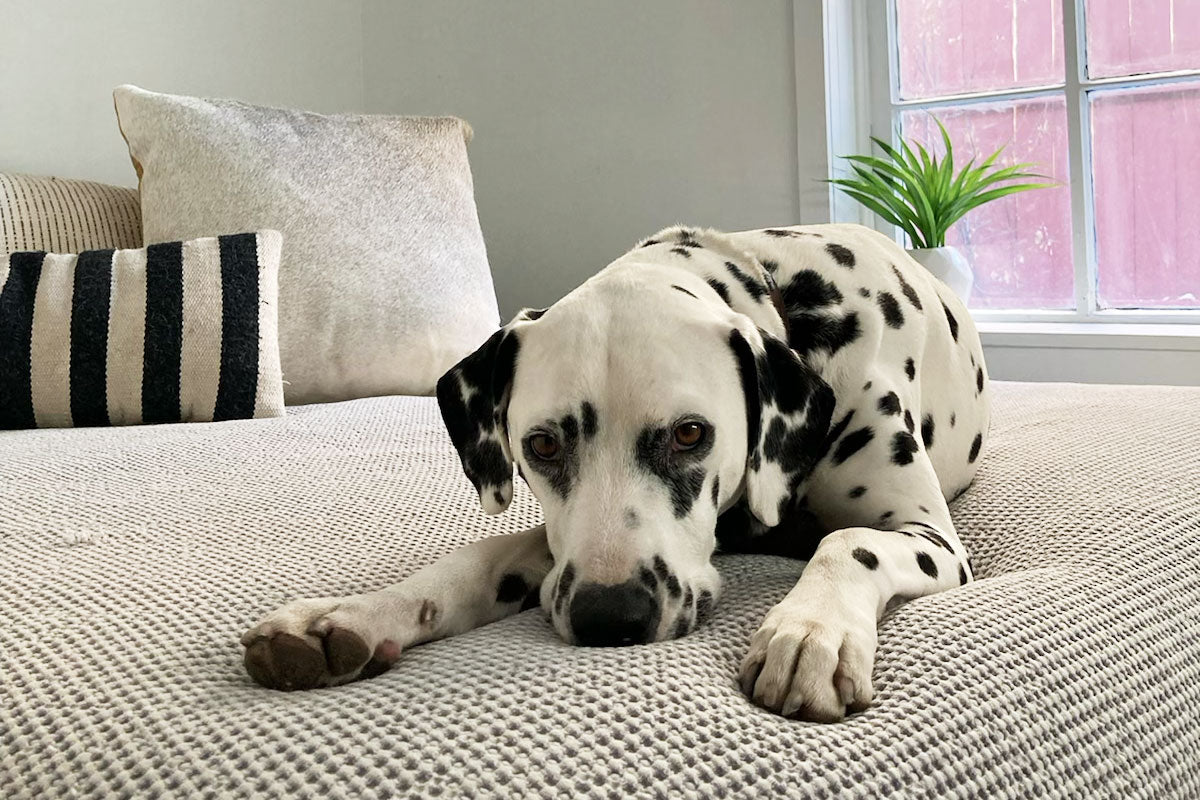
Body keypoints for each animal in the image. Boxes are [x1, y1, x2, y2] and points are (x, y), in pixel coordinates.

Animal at [238, 221, 988, 724]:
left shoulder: (928, 536)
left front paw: (809, 633)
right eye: (541, 446)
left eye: (690, 434)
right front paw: (351, 614)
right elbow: (477, 560)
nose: (610, 616)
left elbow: (849, 542)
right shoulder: (565, 547)